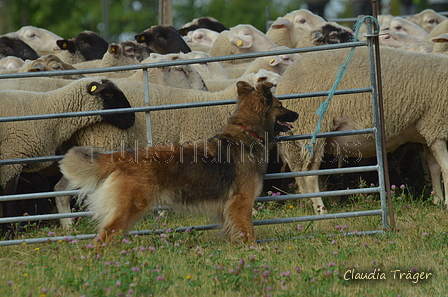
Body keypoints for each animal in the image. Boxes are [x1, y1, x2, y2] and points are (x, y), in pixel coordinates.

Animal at [0, 76, 135, 222]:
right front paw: (9, 227)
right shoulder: (11, 159)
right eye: (108, 93)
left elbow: (42, 184)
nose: (132, 117)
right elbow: (8, 198)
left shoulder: (27, 161)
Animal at [59, 81, 298, 245]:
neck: (247, 133)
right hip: (128, 208)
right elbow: (248, 232)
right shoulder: (242, 202)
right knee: (103, 239)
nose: (296, 113)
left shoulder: (228, 208)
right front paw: (254, 252)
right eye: (280, 105)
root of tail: (122, 156)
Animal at [274, 45, 448, 213]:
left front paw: (437, 200)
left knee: (299, 173)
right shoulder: (435, 125)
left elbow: (435, 168)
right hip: (313, 131)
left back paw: (307, 204)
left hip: (295, 139)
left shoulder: (428, 132)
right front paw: (445, 203)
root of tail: (283, 85)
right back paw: (321, 210)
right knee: (310, 175)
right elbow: (445, 167)